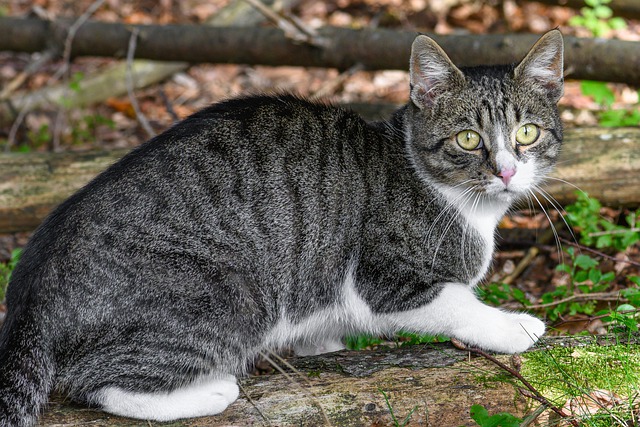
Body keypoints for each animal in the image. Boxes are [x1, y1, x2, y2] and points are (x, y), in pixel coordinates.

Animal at [0, 30, 564, 424]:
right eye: (468, 139)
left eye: (527, 133)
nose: (506, 171)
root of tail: (29, 292)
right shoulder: (383, 280)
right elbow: (457, 303)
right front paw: (513, 326)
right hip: (232, 295)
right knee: (95, 383)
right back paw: (211, 390)